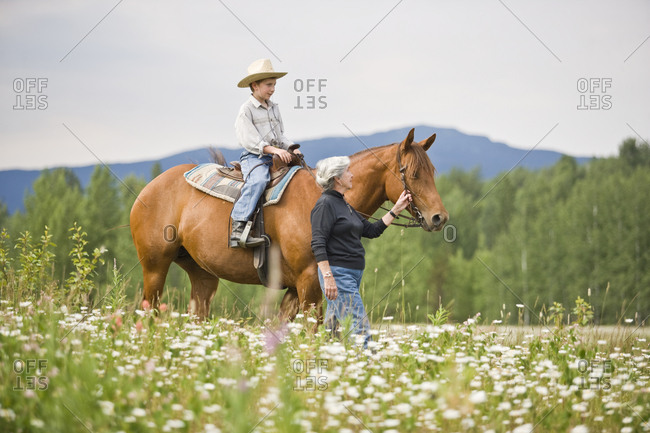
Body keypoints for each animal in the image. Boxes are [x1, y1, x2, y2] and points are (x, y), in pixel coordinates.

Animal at [130, 128, 449, 320]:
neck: (321, 197)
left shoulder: (295, 289)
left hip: (203, 275)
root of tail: (149, 188)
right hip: (155, 268)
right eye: (414, 173)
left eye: (432, 171)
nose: (439, 217)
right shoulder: (310, 283)